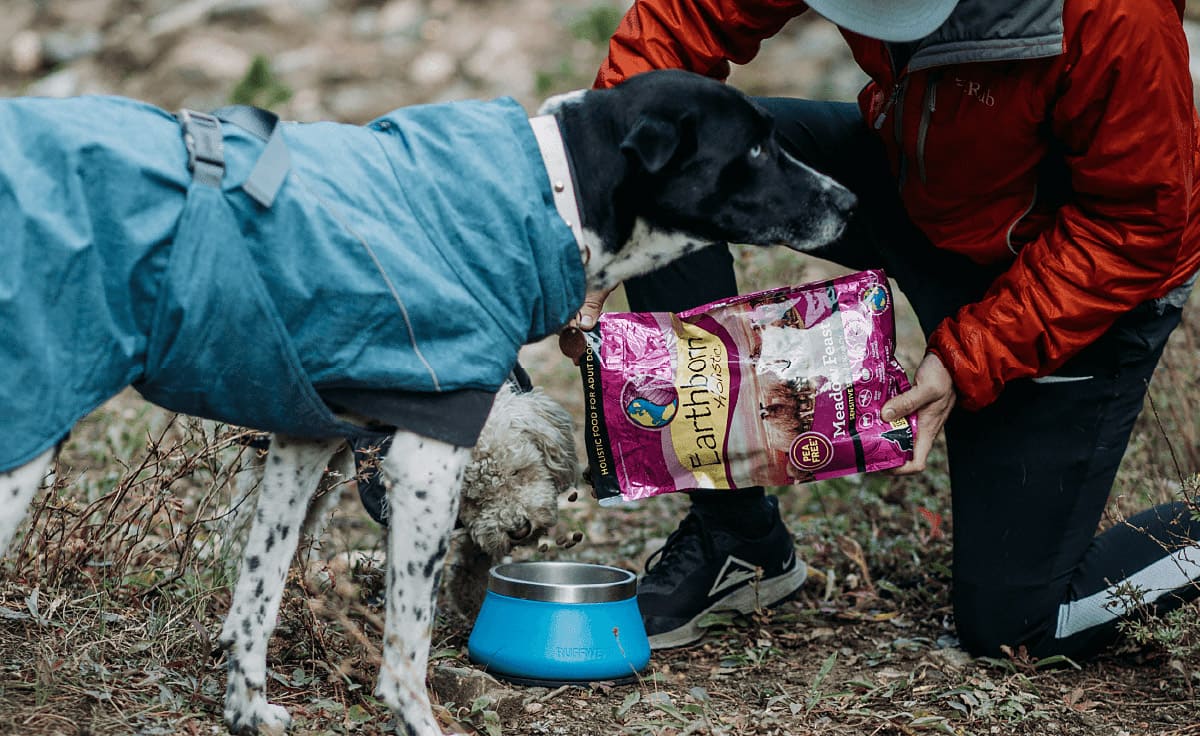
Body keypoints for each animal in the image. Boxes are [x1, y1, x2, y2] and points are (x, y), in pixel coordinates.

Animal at [0, 67, 854, 729]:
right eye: (752, 148)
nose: (848, 202)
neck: (554, 191)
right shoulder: (425, 465)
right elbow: (404, 648)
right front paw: (414, 714)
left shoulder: (307, 446)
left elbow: (257, 592)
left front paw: (246, 709)